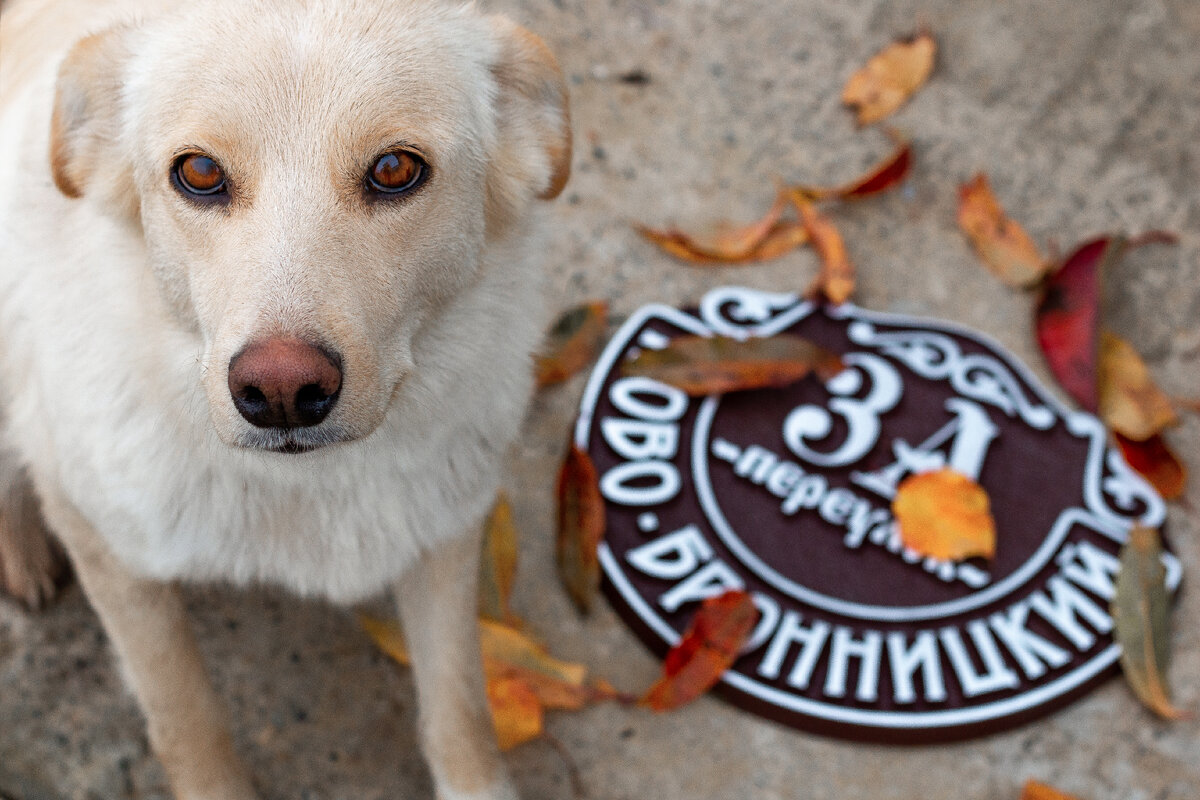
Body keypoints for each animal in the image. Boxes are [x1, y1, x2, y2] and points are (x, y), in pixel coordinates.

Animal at [0, 1, 571, 796]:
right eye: (199, 172)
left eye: (395, 169)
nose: (280, 392)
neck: (304, 487)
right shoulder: (108, 547)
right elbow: (188, 719)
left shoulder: (443, 526)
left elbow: (460, 709)